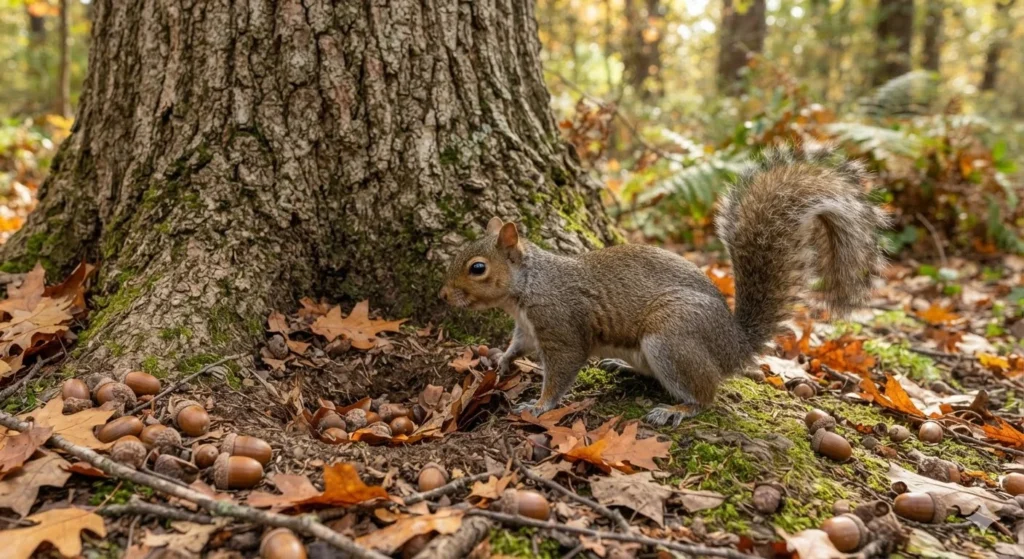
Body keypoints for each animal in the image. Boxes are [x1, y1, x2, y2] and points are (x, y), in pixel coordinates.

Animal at [439, 148, 887, 426]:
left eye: (477, 268)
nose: (443, 296)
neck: (529, 287)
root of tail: (734, 345)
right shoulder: (527, 327)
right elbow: (518, 345)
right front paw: (502, 360)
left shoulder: (562, 325)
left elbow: (562, 369)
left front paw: (539, 404)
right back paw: (622, 366)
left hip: (671, 338)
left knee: (705, 395)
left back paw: (678, 410)